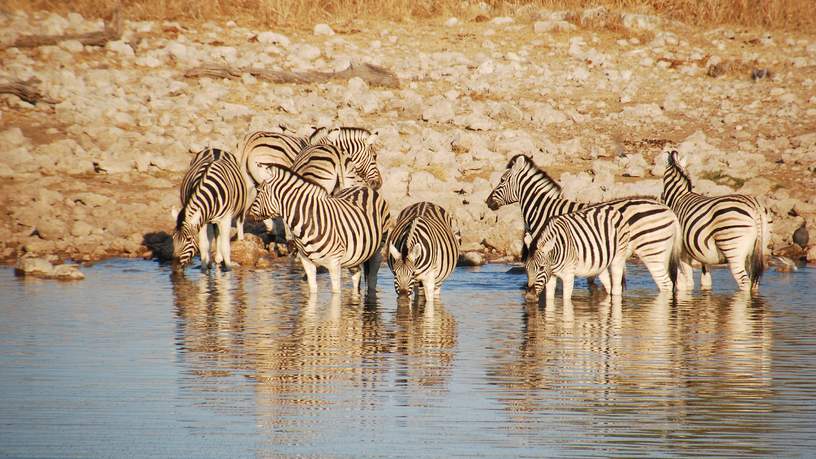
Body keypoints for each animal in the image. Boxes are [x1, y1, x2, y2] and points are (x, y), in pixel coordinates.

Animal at [247, 165, 390, 294]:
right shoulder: (306, 262)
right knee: (357, 276)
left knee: (372, 279)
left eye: (258, 191)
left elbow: (335, 294)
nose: (248, 215)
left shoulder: (334, 263)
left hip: (378, 248)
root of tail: (363, 187)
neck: (307, 223)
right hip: (355, 255)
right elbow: (312, 292)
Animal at [660, 153, 768, 292]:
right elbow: (706, 281)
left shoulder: (682, 252)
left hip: (733, 247)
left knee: (744, 281)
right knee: (755, 281)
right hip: (757, 250)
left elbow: (687, 281)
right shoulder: (703, 254)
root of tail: (754, 206)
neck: (679, 197)